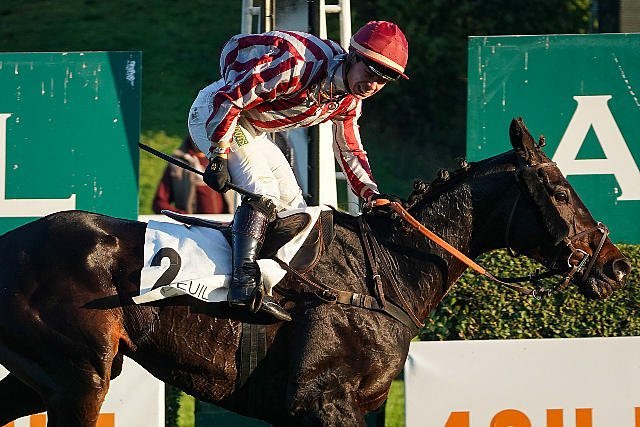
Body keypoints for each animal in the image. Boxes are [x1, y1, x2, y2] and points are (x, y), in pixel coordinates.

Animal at [0, 118, 630, 426]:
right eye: (558, 190)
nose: (616, 264)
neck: (385, 274)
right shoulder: (322, 401)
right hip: (81, 378)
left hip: (46, 377)